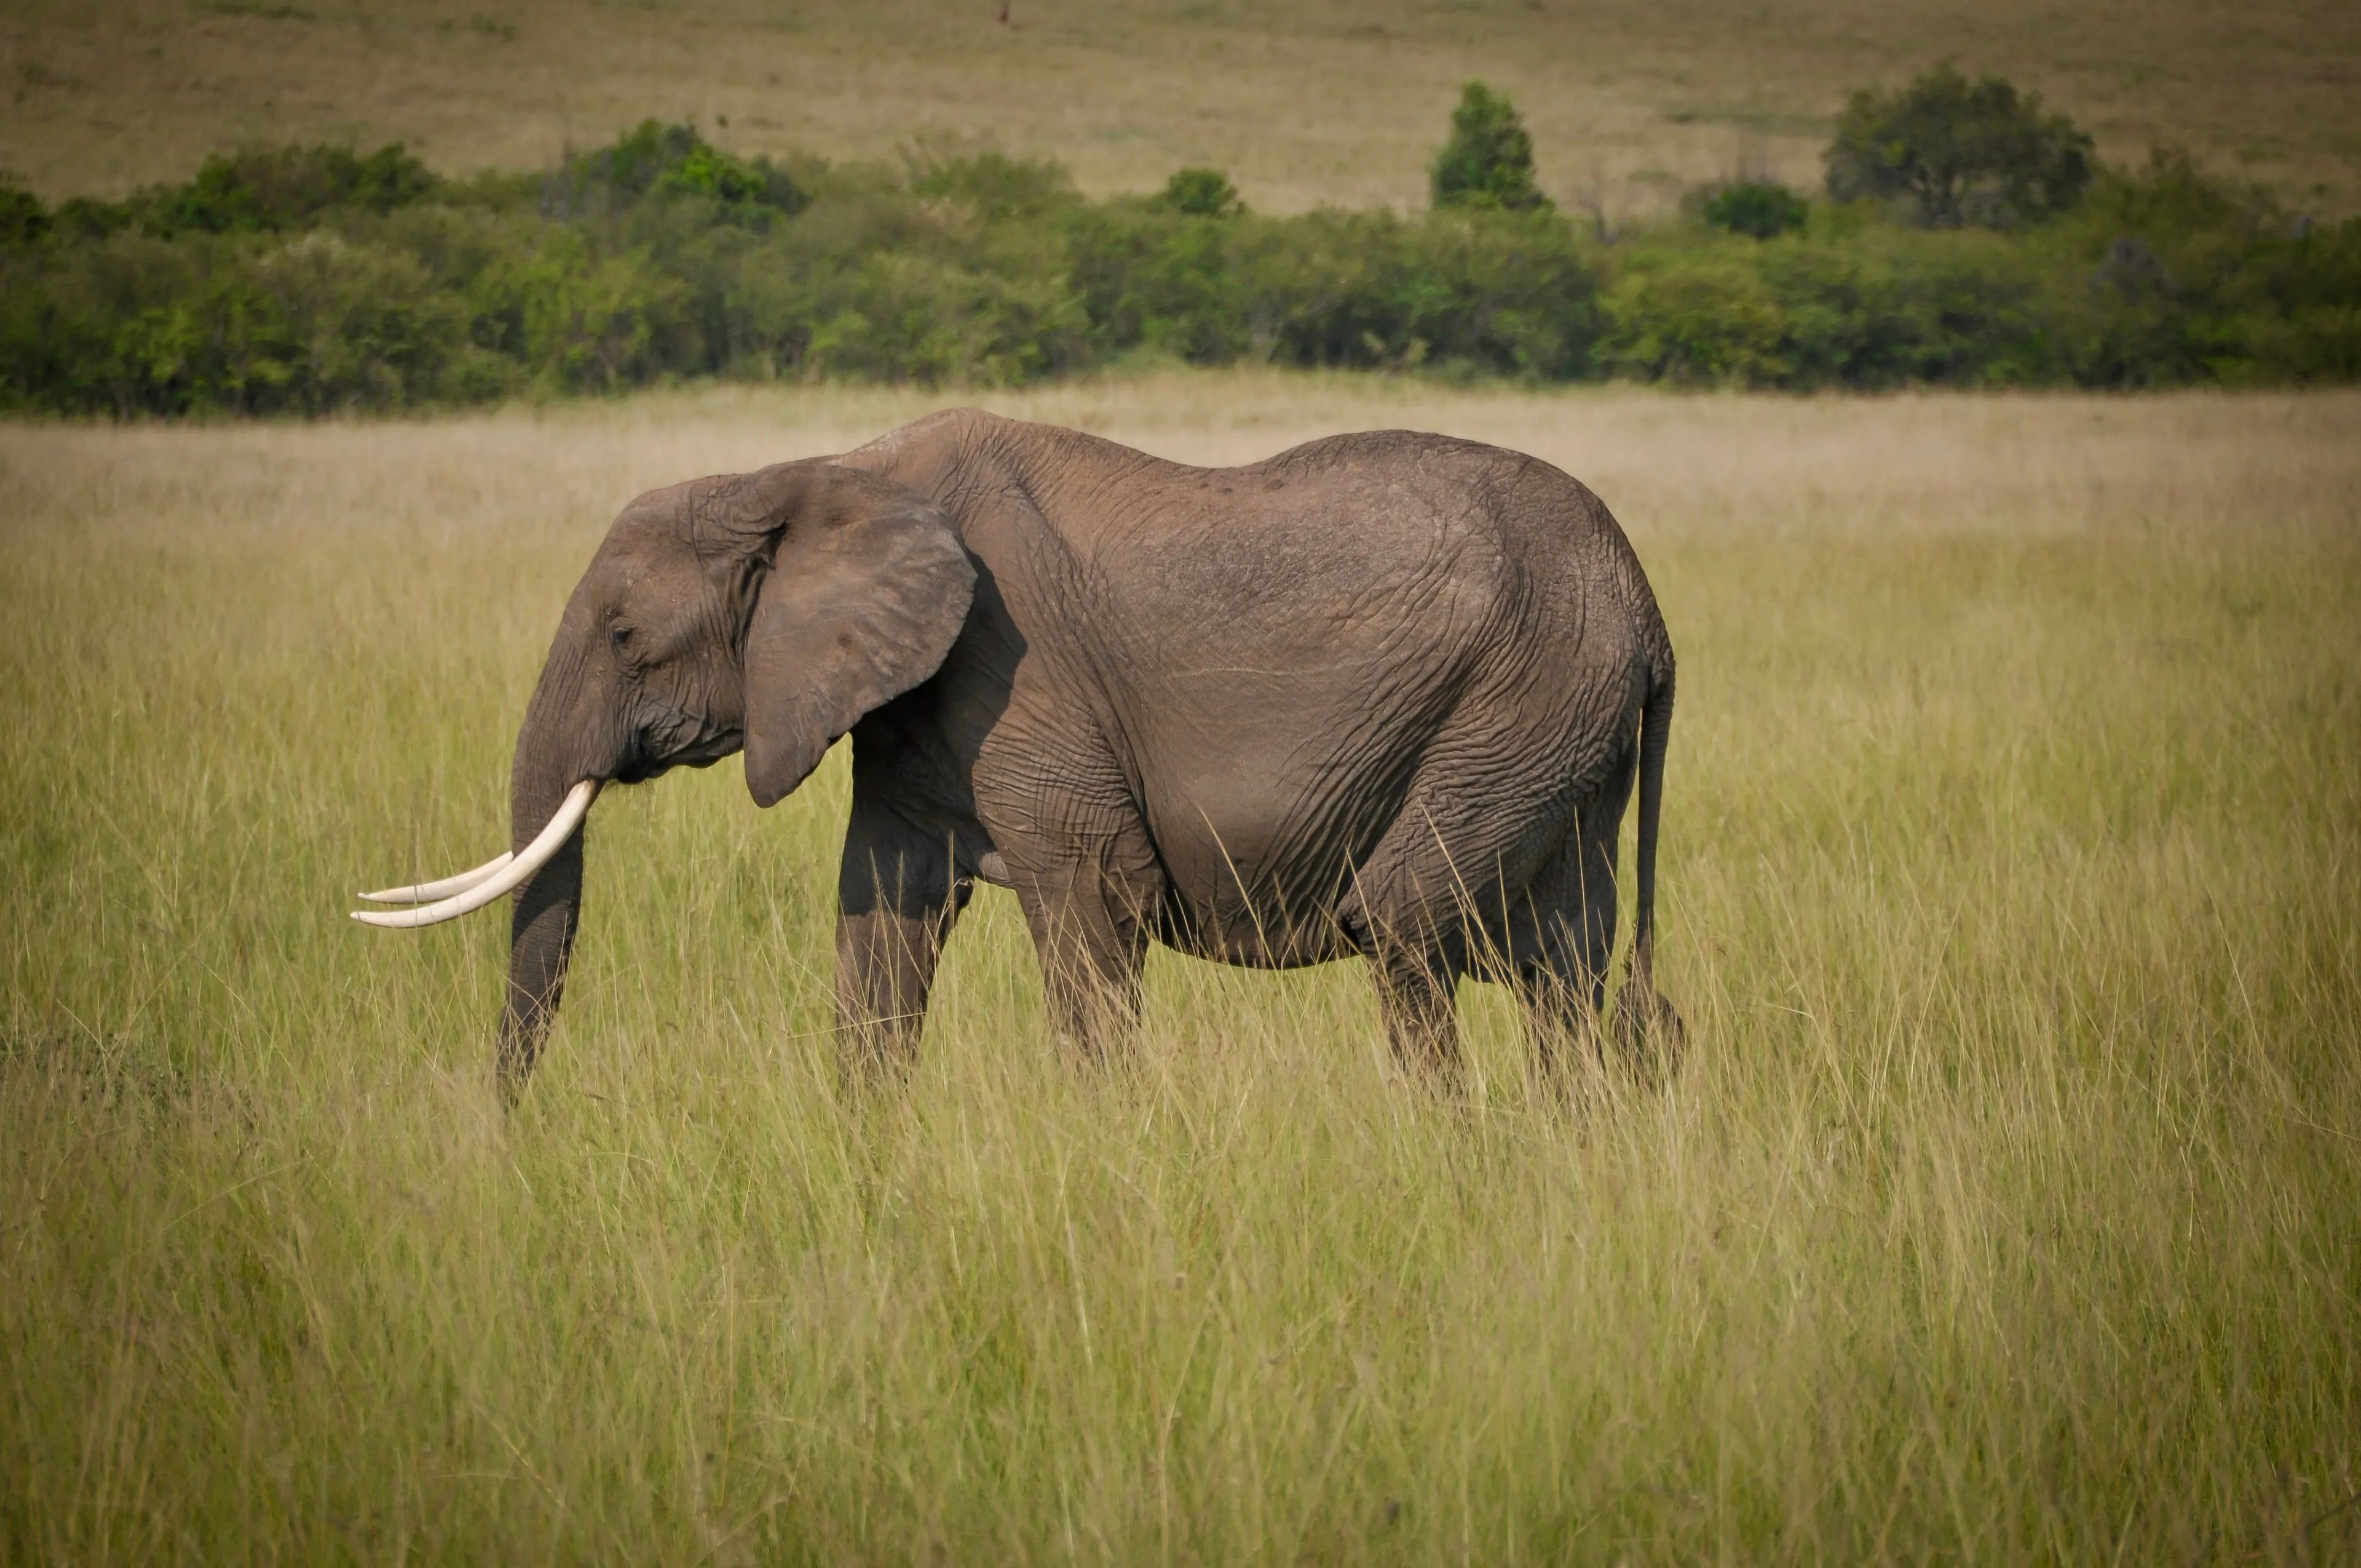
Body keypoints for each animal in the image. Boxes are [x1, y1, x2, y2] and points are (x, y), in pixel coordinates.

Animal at [355, 409, 1683, 1097]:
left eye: (629, 638)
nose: (513, 1134)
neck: (820, 470)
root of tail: (1651, 610)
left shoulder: (1017, 673)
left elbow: (1095, 903)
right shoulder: (907, 704)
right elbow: (882, 918)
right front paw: (866, 1158)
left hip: (1522, 701)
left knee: (1411, 926)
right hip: (1559, 735)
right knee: (1564, 969)